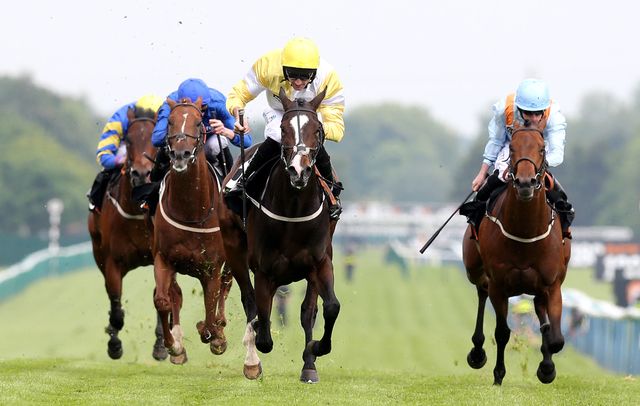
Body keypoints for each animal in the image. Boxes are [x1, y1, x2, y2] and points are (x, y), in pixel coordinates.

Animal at [87, 107, 168, 361]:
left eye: (155, 138)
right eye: (128, 140)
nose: (141, 173)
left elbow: (160, 297)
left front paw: (161, 345)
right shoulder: (112, 262)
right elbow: (115, 304)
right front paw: (114, 343)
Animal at [151, 96, 229, 364]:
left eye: (198, 123)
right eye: (170, 122)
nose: (181, 154)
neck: (191, 210)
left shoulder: (212, 267)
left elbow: (210, 305)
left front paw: (215, 336)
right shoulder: (163, 258)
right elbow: (163, 300)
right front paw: (173, 346)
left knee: (225, 287)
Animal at [218, 87, 340, 383]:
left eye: (318, 129)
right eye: (284, 129)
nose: (299, 170)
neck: (294, 211)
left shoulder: (320, 261)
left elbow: (327, 308)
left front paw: (314, 353)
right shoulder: (264, 269)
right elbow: (262, 324)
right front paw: (256, 350)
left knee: (307, 311)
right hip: (234, 250)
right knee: (250, 302)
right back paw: (251, 362)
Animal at [462, 117, 571, 385]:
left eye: (542, 149)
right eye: (512, 149)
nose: (525, 183)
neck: (525, 234)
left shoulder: (553, 284)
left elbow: (555, 338)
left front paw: (546, 369)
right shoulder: (499, 285)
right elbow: (502, 332)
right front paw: (498, 375)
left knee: (541, 311)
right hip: (474, 269)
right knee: (481, 291)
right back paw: (477, 352)